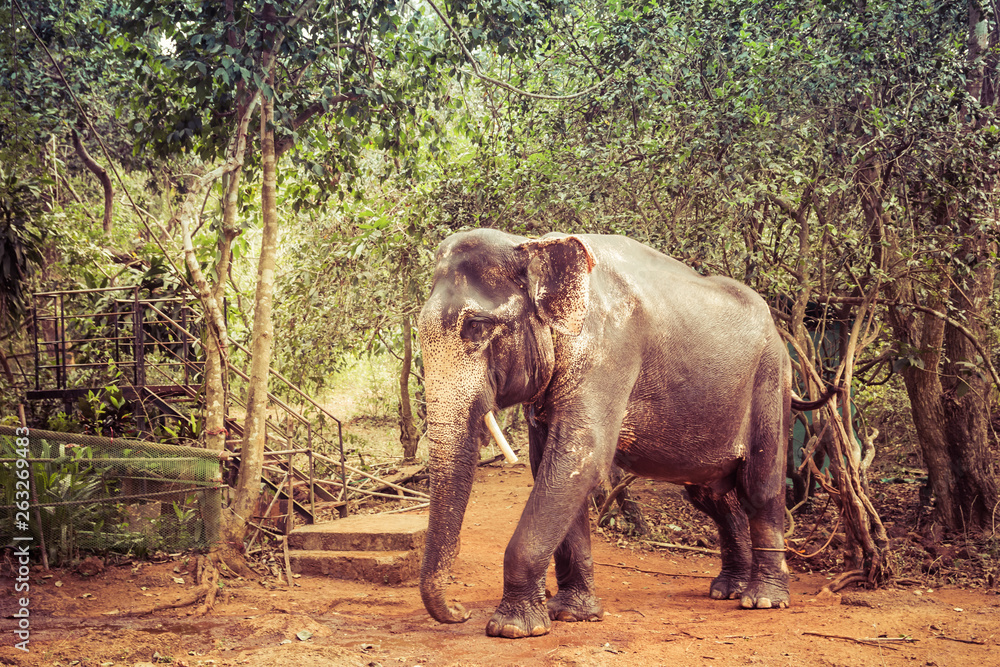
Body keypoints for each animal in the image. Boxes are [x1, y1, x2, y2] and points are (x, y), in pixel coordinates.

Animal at [417, 229, 836, 639]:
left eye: (477, 326)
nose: (459, 611)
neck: (532, 245)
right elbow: (552, 468)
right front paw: (570, 614)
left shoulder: (608, 352)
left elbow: (578, 459)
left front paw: (513, 628)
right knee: (709, 495)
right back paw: (727, 590)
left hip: (771, 379)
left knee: (760, 486)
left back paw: (762, 600)